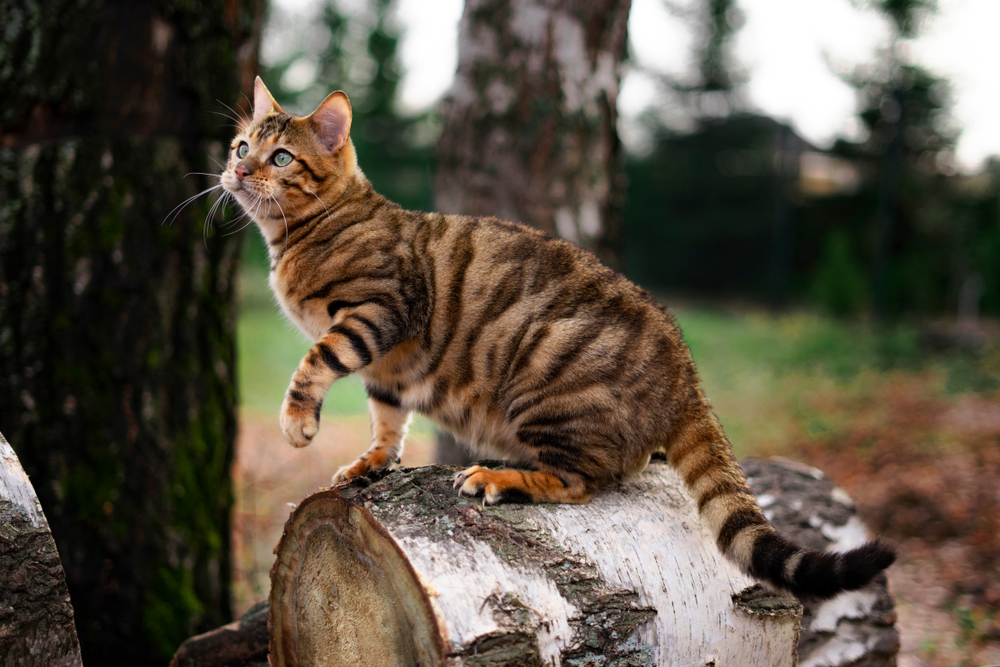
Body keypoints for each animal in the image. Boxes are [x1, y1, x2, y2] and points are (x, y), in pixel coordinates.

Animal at [221, 77, 900, 600]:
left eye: (281, 157)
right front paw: (370, 463)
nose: (236, 169)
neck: (304, 234)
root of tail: (686, 370)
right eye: (241, 145)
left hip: (545, 371)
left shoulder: (380, 312)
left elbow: (315, 361)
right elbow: (387, 421)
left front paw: (298, 422)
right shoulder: (387, 368)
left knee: (586, 481)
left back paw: (500, 479)